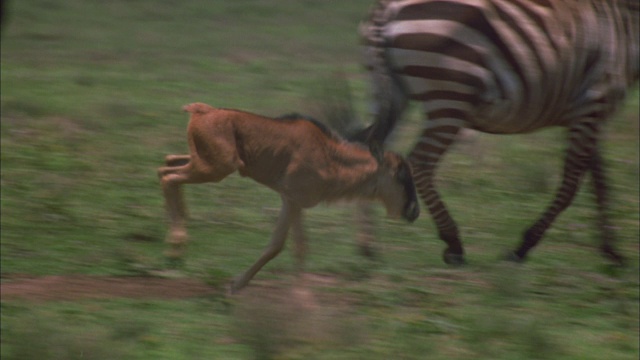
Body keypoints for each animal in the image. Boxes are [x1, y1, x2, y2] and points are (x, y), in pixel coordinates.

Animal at [358, 0, 636, 264]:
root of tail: (388, 9)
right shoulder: (595, 100)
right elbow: (572, 185)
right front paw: (523, 247)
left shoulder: (585, 114)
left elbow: (599, 180)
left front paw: (611, 250)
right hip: (450, 96)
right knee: (420, 162)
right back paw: (453, 243)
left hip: (391, 94)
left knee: (369, 150)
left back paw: (368, 246)